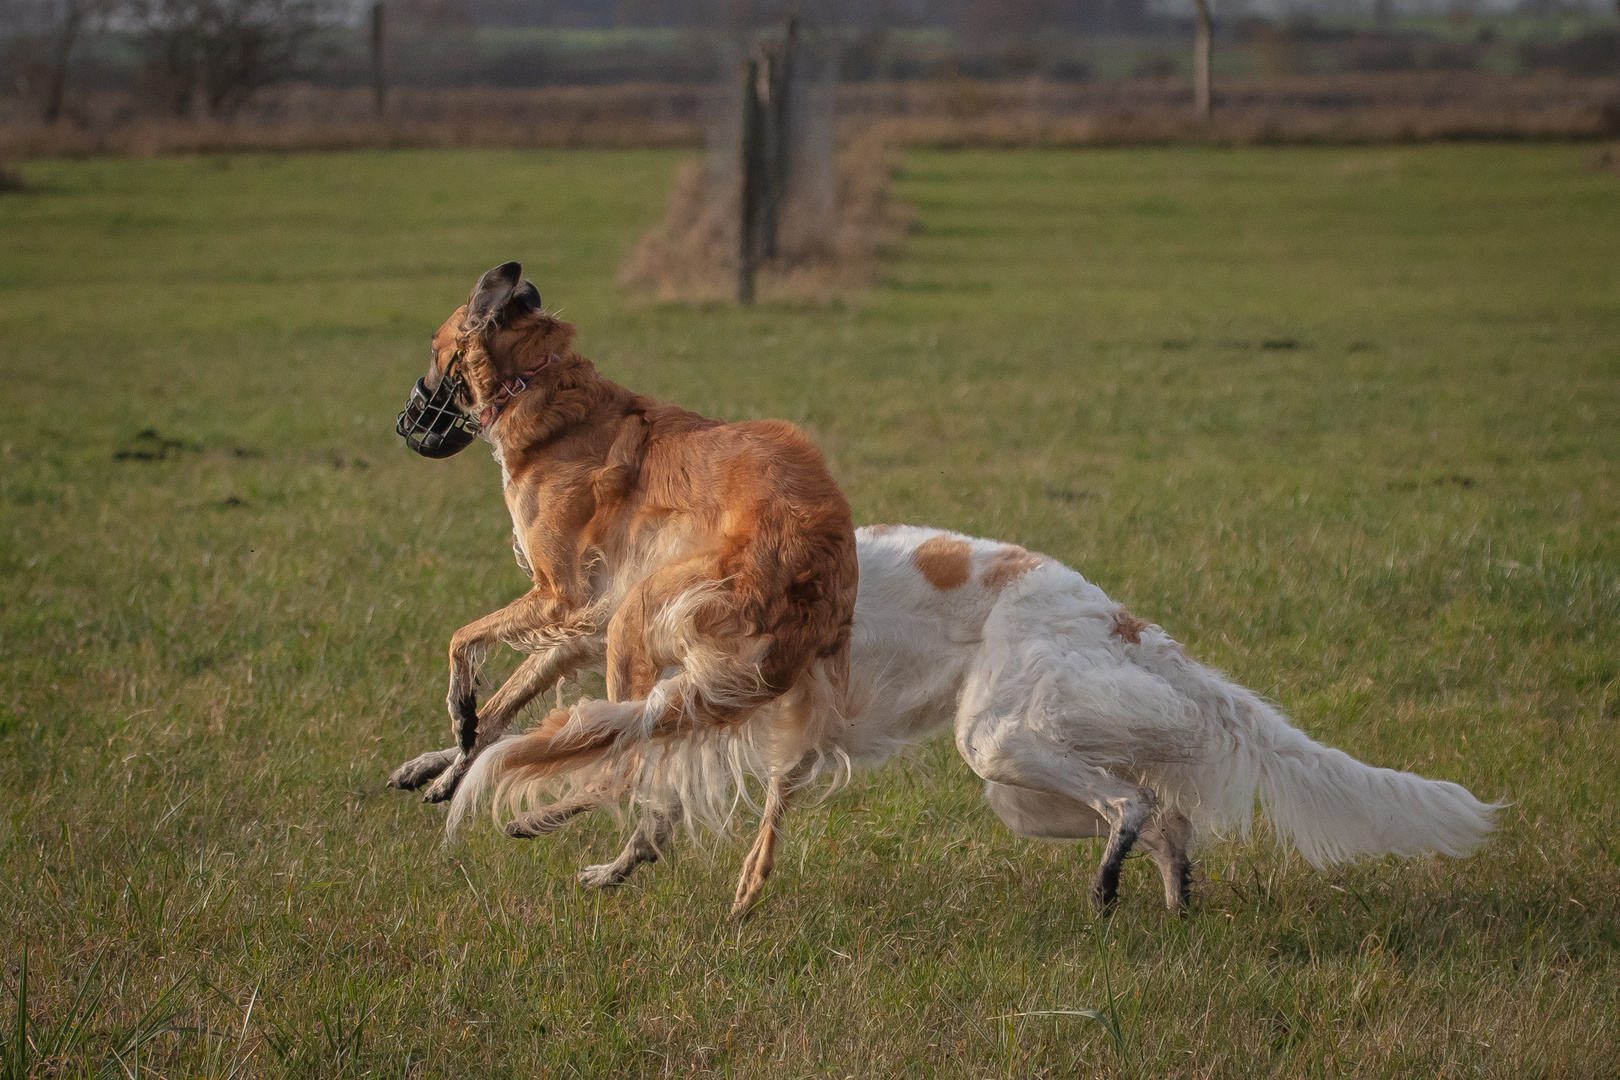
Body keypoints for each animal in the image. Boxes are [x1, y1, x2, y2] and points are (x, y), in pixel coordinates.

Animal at [390, 262, 861, 913]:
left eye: (432, 352)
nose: (406, 425)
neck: (542, 388)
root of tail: (819, 565)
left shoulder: (560, 596)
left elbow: (462, 644)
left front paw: (458, 714)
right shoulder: (582, 622)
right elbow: (498, 709)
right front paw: (438, 767)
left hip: (642, 622)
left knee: (625, 765)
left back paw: (545, 822)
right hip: (746, 685)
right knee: (682, 788)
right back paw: (642, 868)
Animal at [408, 524, 1503, 913]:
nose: (473, 681)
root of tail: (1119, 617)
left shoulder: (705, 702)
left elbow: (594, 763)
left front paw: (487, 784)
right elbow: (634, 795)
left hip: (1005, 740)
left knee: (1137, 806)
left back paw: (1115, 888)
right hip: (1022, 783)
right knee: (1166, 814)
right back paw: (1174, 901)